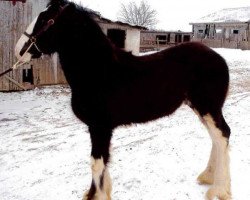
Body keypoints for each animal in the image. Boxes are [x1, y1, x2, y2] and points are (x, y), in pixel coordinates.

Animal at [14, 0, 231, 199]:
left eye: (45, 19)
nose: (18, 50)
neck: (100, 72)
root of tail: (219, 58)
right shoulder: (99, 128)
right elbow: (102, 162)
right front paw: (93, 193)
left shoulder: (100, 127)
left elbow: (96, 163)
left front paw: (98, 195)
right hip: (200, 107)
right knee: (216, 137)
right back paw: (208, 177)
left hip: (208, 107)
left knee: (222, 135)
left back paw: (219, 190)